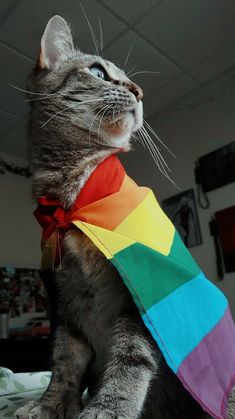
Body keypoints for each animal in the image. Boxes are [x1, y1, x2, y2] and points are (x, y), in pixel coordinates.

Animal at [14, 14, 217, 418]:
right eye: (97, 72)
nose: (139, 91)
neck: (74, 202)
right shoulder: (67, 303)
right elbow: (64, 362)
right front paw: (50, 404)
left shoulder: (140, 294)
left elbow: (131, 359)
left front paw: (108, 408)